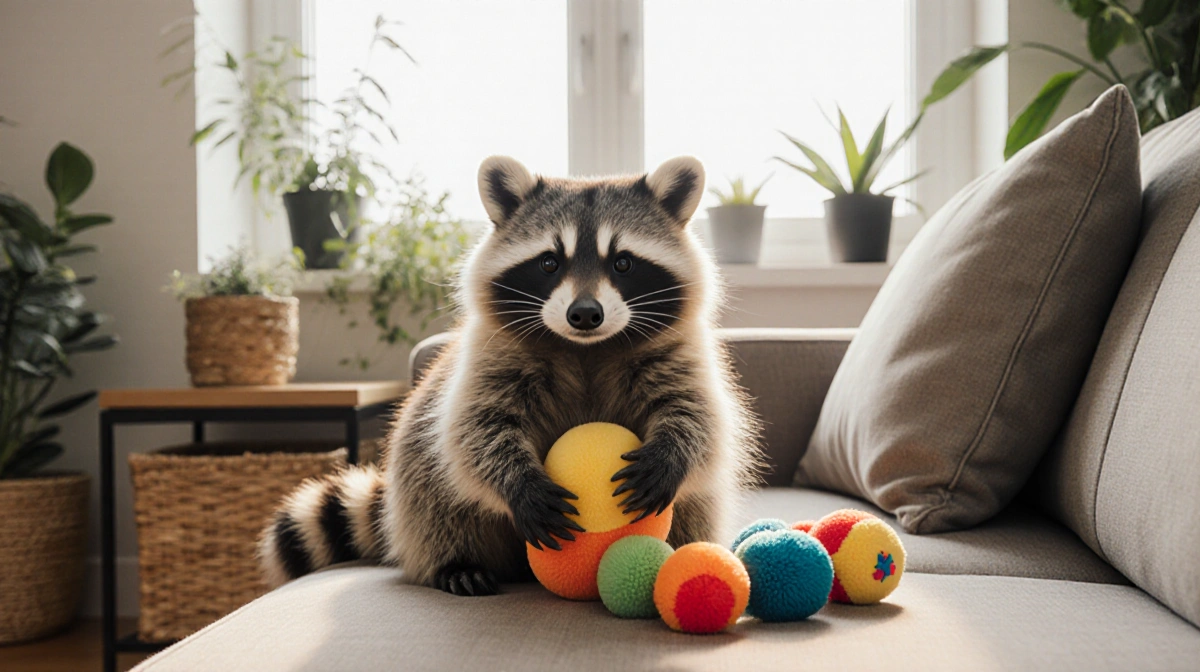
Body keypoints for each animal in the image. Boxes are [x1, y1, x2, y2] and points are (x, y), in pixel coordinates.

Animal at [259, 155, 760, 596]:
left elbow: (700, 418)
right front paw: (518, 483)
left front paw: (670, 454)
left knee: (698, 502)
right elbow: (474, 430)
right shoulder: (489, 355)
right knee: (433, 492)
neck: (587, 349)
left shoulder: (682, 350)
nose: (585, 314)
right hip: (421, 485)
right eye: (549, 262)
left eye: (623, 262)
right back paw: (455, 563)